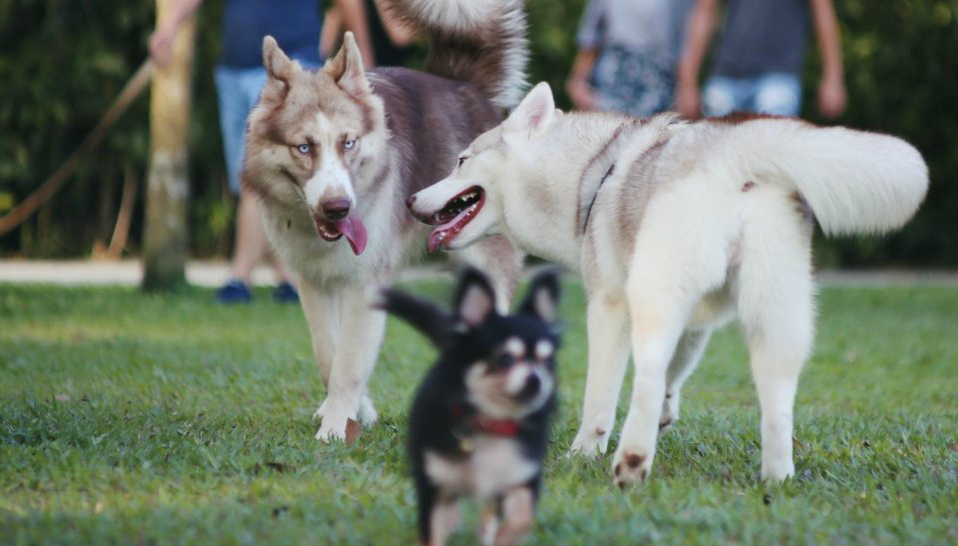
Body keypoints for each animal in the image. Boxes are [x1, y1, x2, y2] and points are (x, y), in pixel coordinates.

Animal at [240, 1, 524, 442]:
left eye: (348, 143)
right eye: (304, 148)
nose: (339, 208)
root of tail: (460, 84)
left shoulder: (364, 284)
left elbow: (348, 364)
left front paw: (335, 428)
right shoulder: (314, 284)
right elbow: (330, 357)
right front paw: (352, 412)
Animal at [378, 268, 564, 544]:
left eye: (548, 362)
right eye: (505, 359)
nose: (536, 380)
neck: (491, 422)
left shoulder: (518, 475)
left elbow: (523, 518)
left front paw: (504, 537)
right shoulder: (434, 481)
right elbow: (431, 530)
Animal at [404, 82, 928, 484]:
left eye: (461, 160)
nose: (410, 200)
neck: (590, 176)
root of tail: (732, 150)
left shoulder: (609, 306)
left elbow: (604, 397)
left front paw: (582, 453)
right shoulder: (697, 320)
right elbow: (677, 374)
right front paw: (665, 417)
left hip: (653, 299)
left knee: (648, 374)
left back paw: (632, 462)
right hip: (776, 319)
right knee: (777, 406)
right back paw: (776, 480)